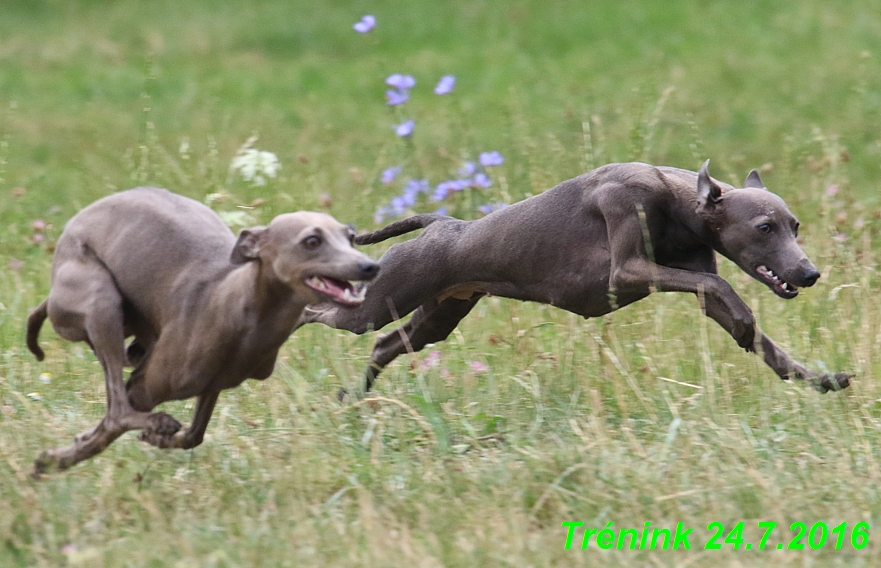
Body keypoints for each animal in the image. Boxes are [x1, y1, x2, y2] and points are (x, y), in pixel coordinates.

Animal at [26, 189, 378, 472]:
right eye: (312, 241)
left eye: (350, 237)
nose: (371, 266)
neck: (242, 308)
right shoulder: (143, 387)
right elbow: (115, 421)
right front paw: (59, 458)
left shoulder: (214, 383)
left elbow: (194, 435)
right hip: (101, 300)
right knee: (117, 409)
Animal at [304, 160, 852, 394]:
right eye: (764, 227)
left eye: (795, 226)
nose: (809, 273)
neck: (679, 201)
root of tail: (442, 224)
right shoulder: (627, 268)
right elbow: (723, 288)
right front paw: (744, 318)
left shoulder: (690, 278)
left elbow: (762, 341)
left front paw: (820, 379)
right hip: (374, 304)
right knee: (318, 311)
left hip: (436, 316)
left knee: (383, 346)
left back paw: (354, 396)